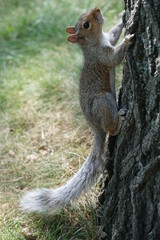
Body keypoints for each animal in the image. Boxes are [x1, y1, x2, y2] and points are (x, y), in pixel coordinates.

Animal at [19, 7, 134, 213]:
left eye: (85, 17)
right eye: (86, 24)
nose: (97, 9)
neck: (95, 42)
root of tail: (95, 128)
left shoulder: (108, 38)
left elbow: (114, 33)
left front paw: (122, 18)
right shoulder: (102, 56)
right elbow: (114, 57)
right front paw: (128, 40)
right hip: (102, 101)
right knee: (111, 129)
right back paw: (119, 120)